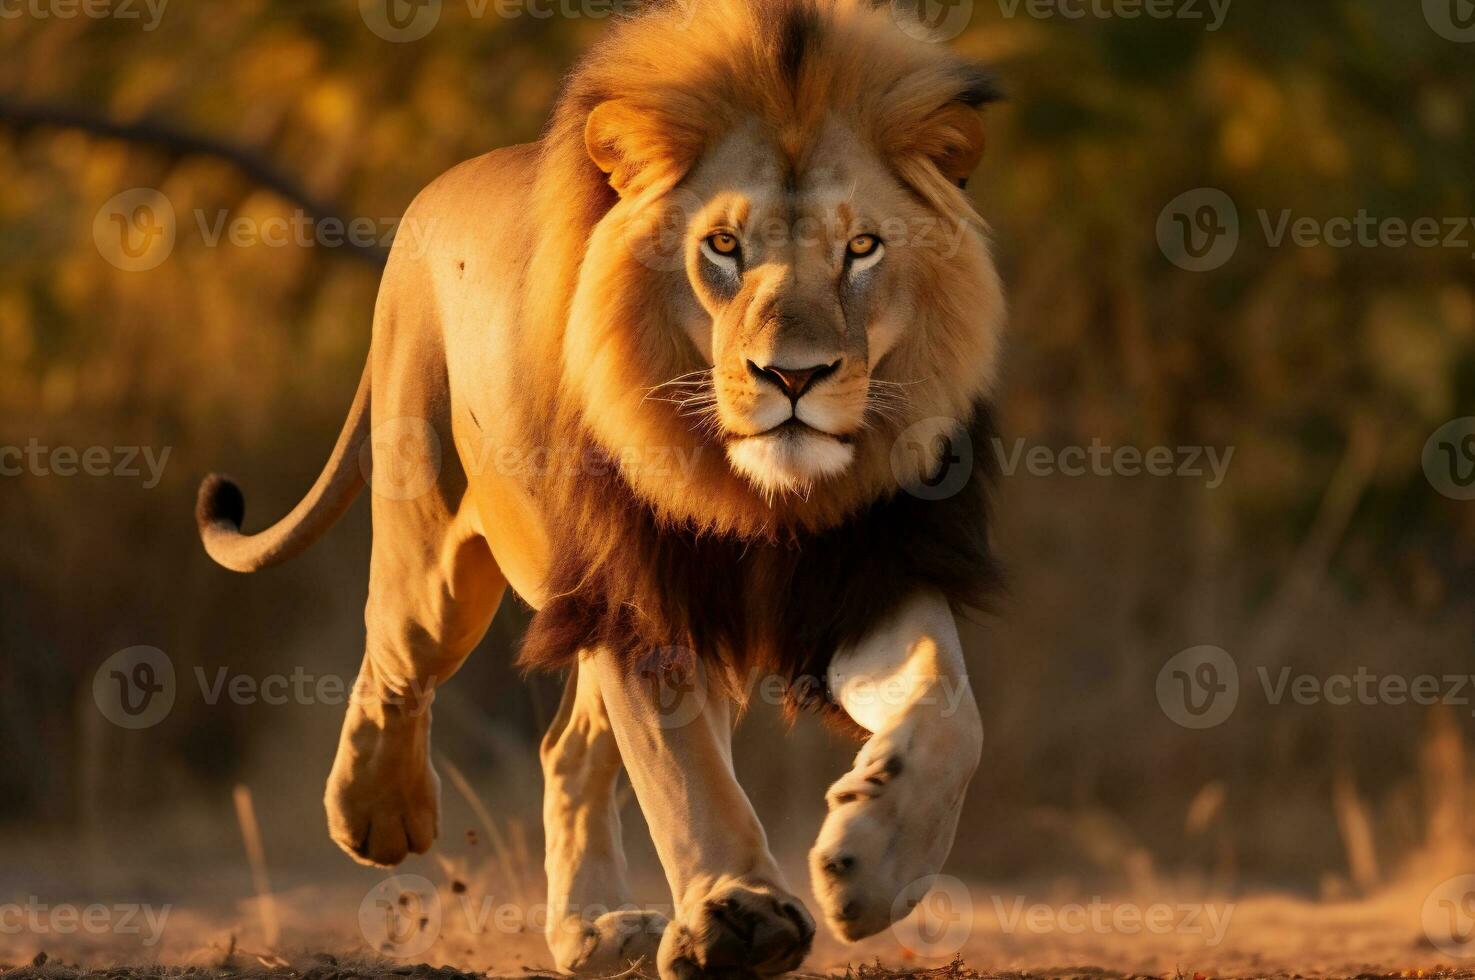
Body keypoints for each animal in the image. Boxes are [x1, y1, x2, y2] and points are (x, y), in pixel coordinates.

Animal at [193, 3, 1003, 974]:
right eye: (722, 248)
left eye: (861, 248)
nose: (792, 376)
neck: (762, 497)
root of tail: (433, 197)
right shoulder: (642, 594)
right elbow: (684, 774)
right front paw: (740, 913)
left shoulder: (868, 570)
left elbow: (950, 708)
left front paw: (870, 860)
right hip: (436, 548)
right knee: (394, 659)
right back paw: (376, 814)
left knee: (565, 748)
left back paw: (593, 928)